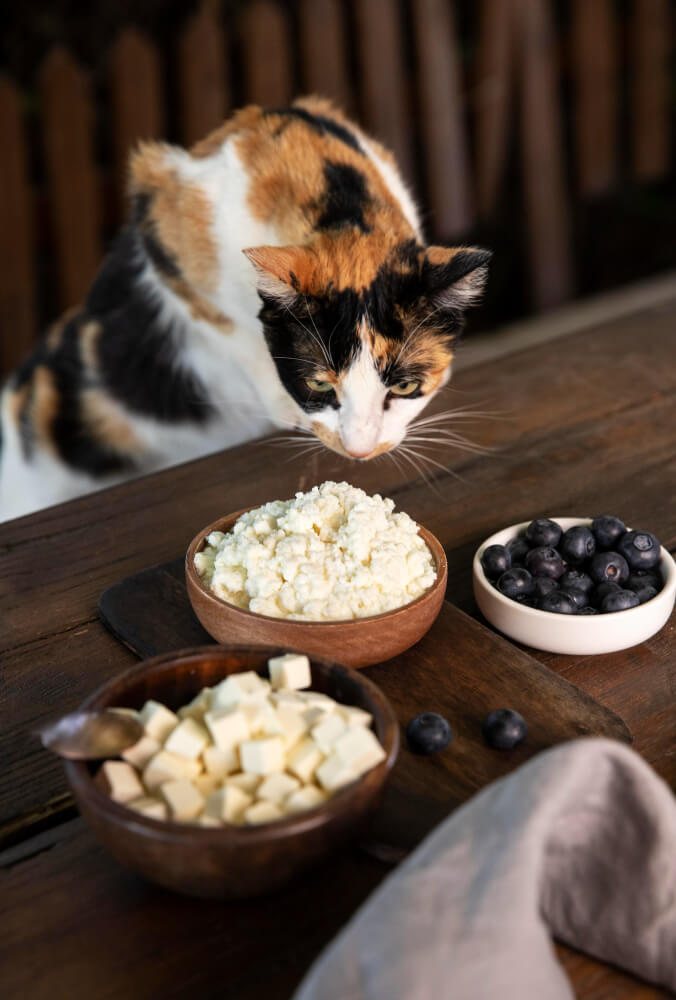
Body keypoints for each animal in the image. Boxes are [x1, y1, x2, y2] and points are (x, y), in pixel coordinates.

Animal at [0, 97, 488, 524]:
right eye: (317, 383)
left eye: (405, 386)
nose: (359, 450)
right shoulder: (163, 227)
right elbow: (233, 331)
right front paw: (285, 408)